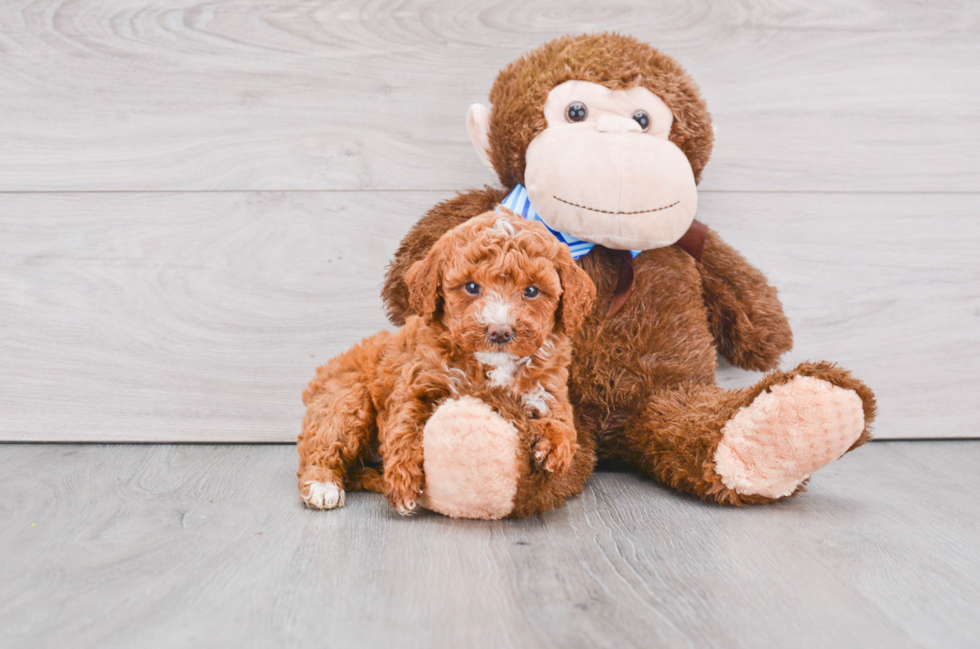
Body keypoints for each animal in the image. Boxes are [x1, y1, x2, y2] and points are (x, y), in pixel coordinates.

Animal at [294, 210, 592, 512]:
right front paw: (403, 482)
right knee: (322, 445)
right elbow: (404, 426)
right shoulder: (416, 383)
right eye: (471, 287)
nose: (499, 331)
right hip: (345, 399)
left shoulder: (549, 389)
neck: (490, 364)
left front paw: (555, 445)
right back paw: (323, 485)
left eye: (531, 291)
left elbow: (565, 423)